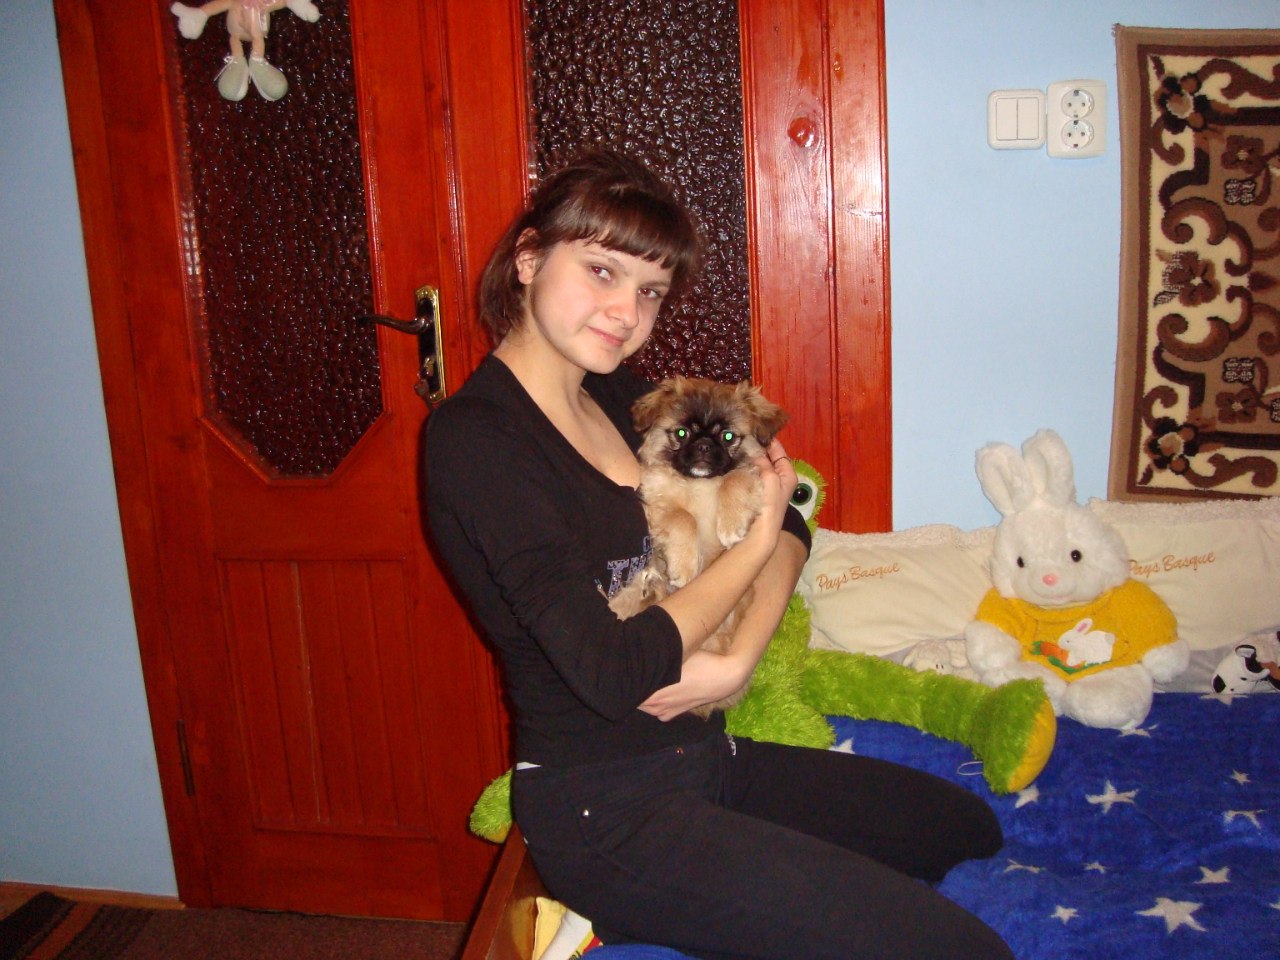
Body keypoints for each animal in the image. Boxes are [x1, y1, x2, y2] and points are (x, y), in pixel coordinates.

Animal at [609, 376, 789, 716]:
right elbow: (684, 518)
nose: (704, 445)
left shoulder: (754, 474)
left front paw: (731, 525)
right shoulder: (657, 503)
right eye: (682, 433)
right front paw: (684, 567)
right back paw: (650, 588)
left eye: (728, 436)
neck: (701, 484)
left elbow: (736, 478)